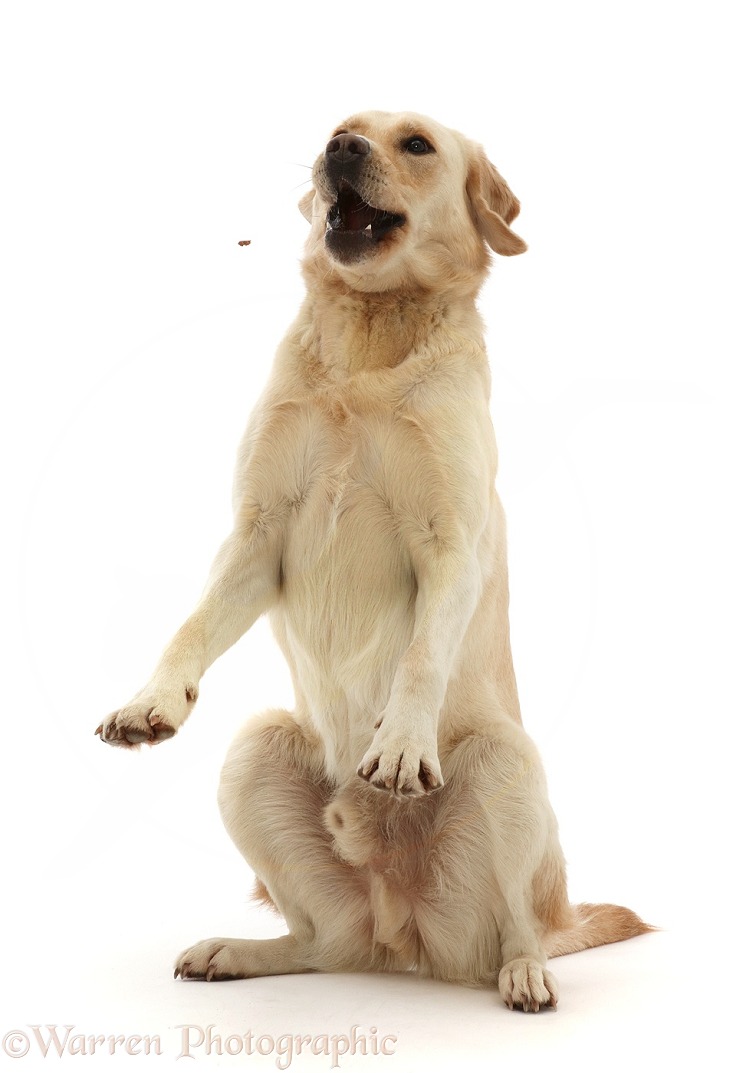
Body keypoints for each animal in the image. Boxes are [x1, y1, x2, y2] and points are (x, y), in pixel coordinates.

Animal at [94, 111, 652, 1012]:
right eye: (342, 129)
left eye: (415, 144)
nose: (339, 150)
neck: (371, 332)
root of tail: (403, 935)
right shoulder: (256, 539)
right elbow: (189, 626)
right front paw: (151, 702)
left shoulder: (449, 544)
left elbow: (421, 657)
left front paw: (399, 743)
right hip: (255, 749)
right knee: (322, 942)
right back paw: (240, 950)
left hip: (506, 764)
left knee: (518, 929)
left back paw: (525, 971)